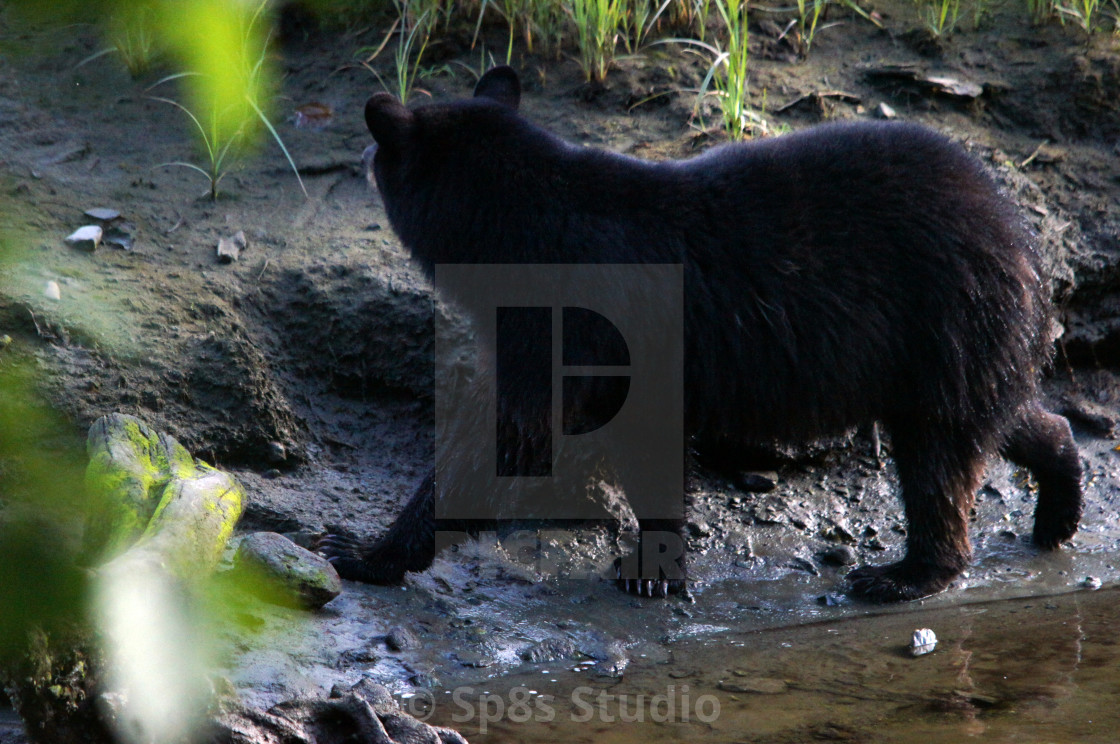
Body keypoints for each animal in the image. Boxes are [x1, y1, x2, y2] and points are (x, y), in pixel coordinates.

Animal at [318, 62, 1084, 600]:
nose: (360, 156)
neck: (514, 234)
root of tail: (1019, 232)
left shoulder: (576, 324)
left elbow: (508, 437)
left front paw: (360, 550)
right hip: (950, 344)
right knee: (999, 418)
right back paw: (1060, 500)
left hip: (945, 315)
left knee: (939, 456)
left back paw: (906, 573)